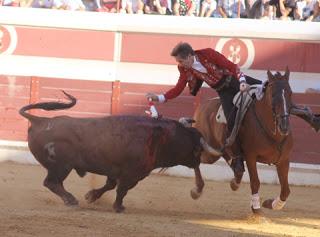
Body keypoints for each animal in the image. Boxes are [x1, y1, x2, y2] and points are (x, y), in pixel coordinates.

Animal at [18, 91, 221, 213]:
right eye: (196, 149)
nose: (198, 162)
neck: (162, 138)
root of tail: (40, 121)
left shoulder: (116, 170)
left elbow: (110, 185)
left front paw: (91, 196)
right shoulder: (132, 174)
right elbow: (121, 190)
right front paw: (118, 207)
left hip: (61, 167)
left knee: (53, 183)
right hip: (61, 167)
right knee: (51, 183)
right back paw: (71, 200)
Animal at [194, 68, 294, 213]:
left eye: (290, 93)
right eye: (273, 94)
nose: (284, 126)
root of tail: (202, 107)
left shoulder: (284, 160)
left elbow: (286, 190)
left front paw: (270, 204)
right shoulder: (251, 156)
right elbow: (255, 182)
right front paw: (256, 209)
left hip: (219, 150)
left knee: (233, 162)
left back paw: (235, 180)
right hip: (209, 152)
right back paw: (197, 190)